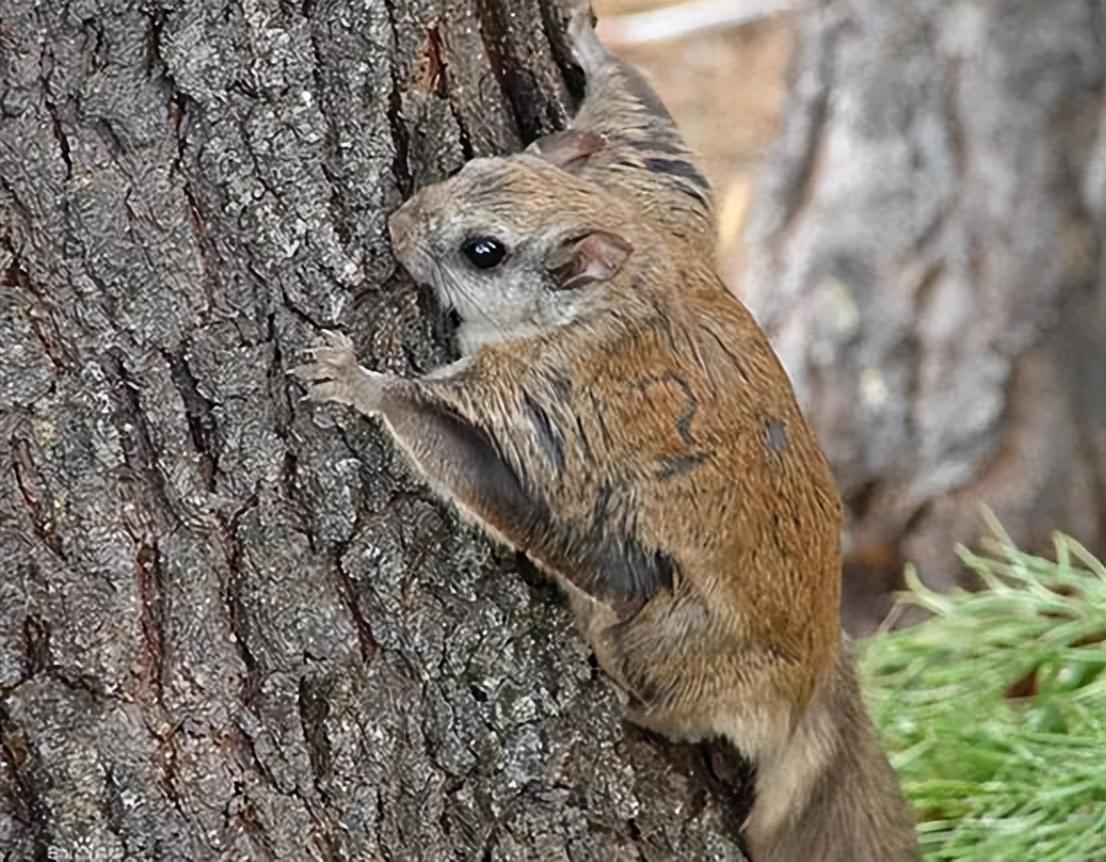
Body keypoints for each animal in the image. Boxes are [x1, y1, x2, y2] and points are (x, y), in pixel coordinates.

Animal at [291, 8, 915, 862]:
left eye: (482, 252)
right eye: (475, 159)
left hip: (671, 635)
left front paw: (358, 380)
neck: (615, 288)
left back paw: (630, 700)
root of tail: (815, 677)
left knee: (678, 706)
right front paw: (591, 44)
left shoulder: (541, 404)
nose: (397, 223)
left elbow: (468, 457)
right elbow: (650, 129)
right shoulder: (662, 199)